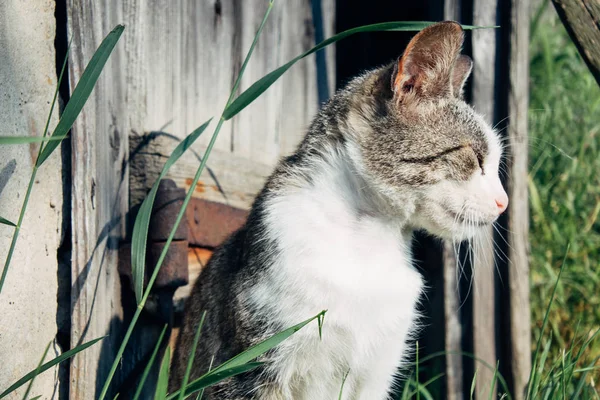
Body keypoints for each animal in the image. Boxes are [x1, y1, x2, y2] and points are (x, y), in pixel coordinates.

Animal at [169, 21, 506, 400]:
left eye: (496, 162)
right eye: (475, 156)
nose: (503, 202)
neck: (368, 244)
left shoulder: (376, 374)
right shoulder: (249, 368)